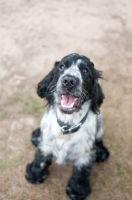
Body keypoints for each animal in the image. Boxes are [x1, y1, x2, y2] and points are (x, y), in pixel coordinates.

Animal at [25, 53, 110, 200]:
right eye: (61, 66)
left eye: (85, 70)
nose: (69, 80)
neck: (67, 125)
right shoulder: (46, 143)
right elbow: (40, 158)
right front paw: (35, 173)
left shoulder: (84, 153)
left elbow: (81, 172)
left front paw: (77, 189)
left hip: (100, 124)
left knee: (99, 139)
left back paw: (101, 152)